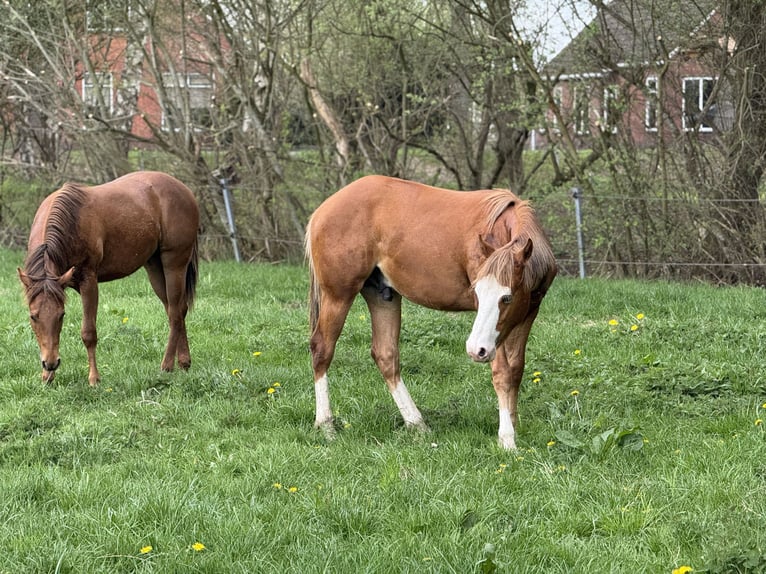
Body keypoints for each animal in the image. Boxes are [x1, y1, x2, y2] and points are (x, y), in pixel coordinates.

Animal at [18, 171, 200, 386]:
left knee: (174, 313)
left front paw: (94, 379)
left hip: (174, 264)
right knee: (177, 310)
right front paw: (47, 377)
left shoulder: (89, 282)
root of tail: (185, 190)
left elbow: (88, 333)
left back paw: (167, 365)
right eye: (33, 316)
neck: (72, 221)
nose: (51, 363)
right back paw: (184, 362)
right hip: (155, 267)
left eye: (61, 315)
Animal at [306, 175, 557, 450]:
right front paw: (507, 438)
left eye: (507, 297)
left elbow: (516, 369)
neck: (502, 226)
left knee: (385, 355)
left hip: (382, 296)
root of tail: (320, 212)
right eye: (477, 293)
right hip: (338, 296)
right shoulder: (495, 335)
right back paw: (326, 425)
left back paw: (417, 424)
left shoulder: (526, 314)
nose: (475, 350)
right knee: (322, 349)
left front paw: (512, 423)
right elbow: (502, 373)